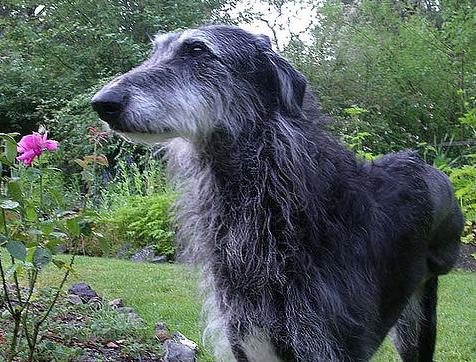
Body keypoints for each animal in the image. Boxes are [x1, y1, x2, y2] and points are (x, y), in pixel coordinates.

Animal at [91, 24, 462, 360]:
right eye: (155, 50)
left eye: (197, 50)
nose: (102, 103)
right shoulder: (248, 339)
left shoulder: (324, 344)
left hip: (418, 315)